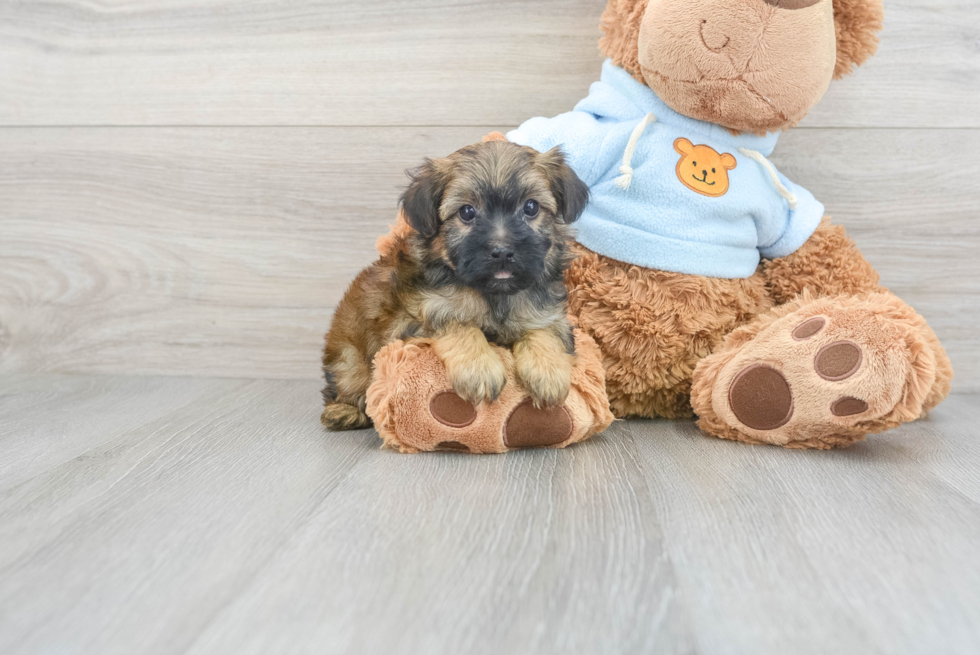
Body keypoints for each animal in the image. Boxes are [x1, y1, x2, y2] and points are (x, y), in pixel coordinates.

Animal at [322, 140, 584, 430]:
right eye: (467, 212)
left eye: (531, 207)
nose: (502, 251)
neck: (494, 294)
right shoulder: (411, 321)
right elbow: (459, 323)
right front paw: (479, 368)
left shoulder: (547, 314)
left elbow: (544, 331)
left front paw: (548, 372)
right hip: (349, 360)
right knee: (347, 385)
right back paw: (344, 411)